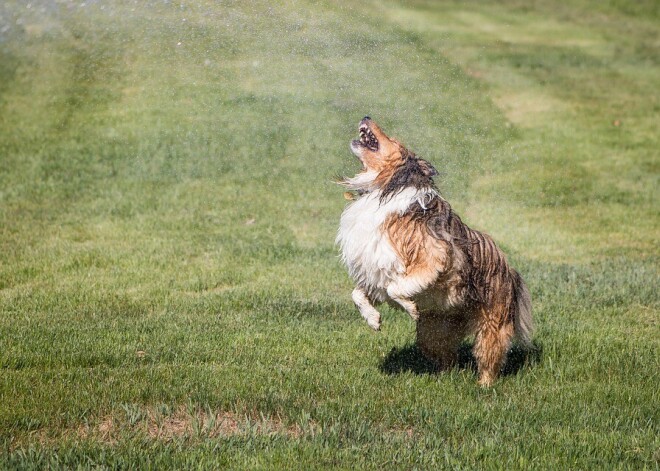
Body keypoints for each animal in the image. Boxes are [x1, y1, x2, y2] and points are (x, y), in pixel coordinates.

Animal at [338, 116, 532, 386]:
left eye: (393, 139)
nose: (366, 116)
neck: (384, 190)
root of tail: (510, 269)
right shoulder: (377, 270)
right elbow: (357, 294)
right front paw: (373, 319)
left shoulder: (434, 257)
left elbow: (396, 287)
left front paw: (408, 307)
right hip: (432, 331)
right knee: (447, 358)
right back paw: (441, 378)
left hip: (491, 326)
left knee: (489, 358)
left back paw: (483, 386)